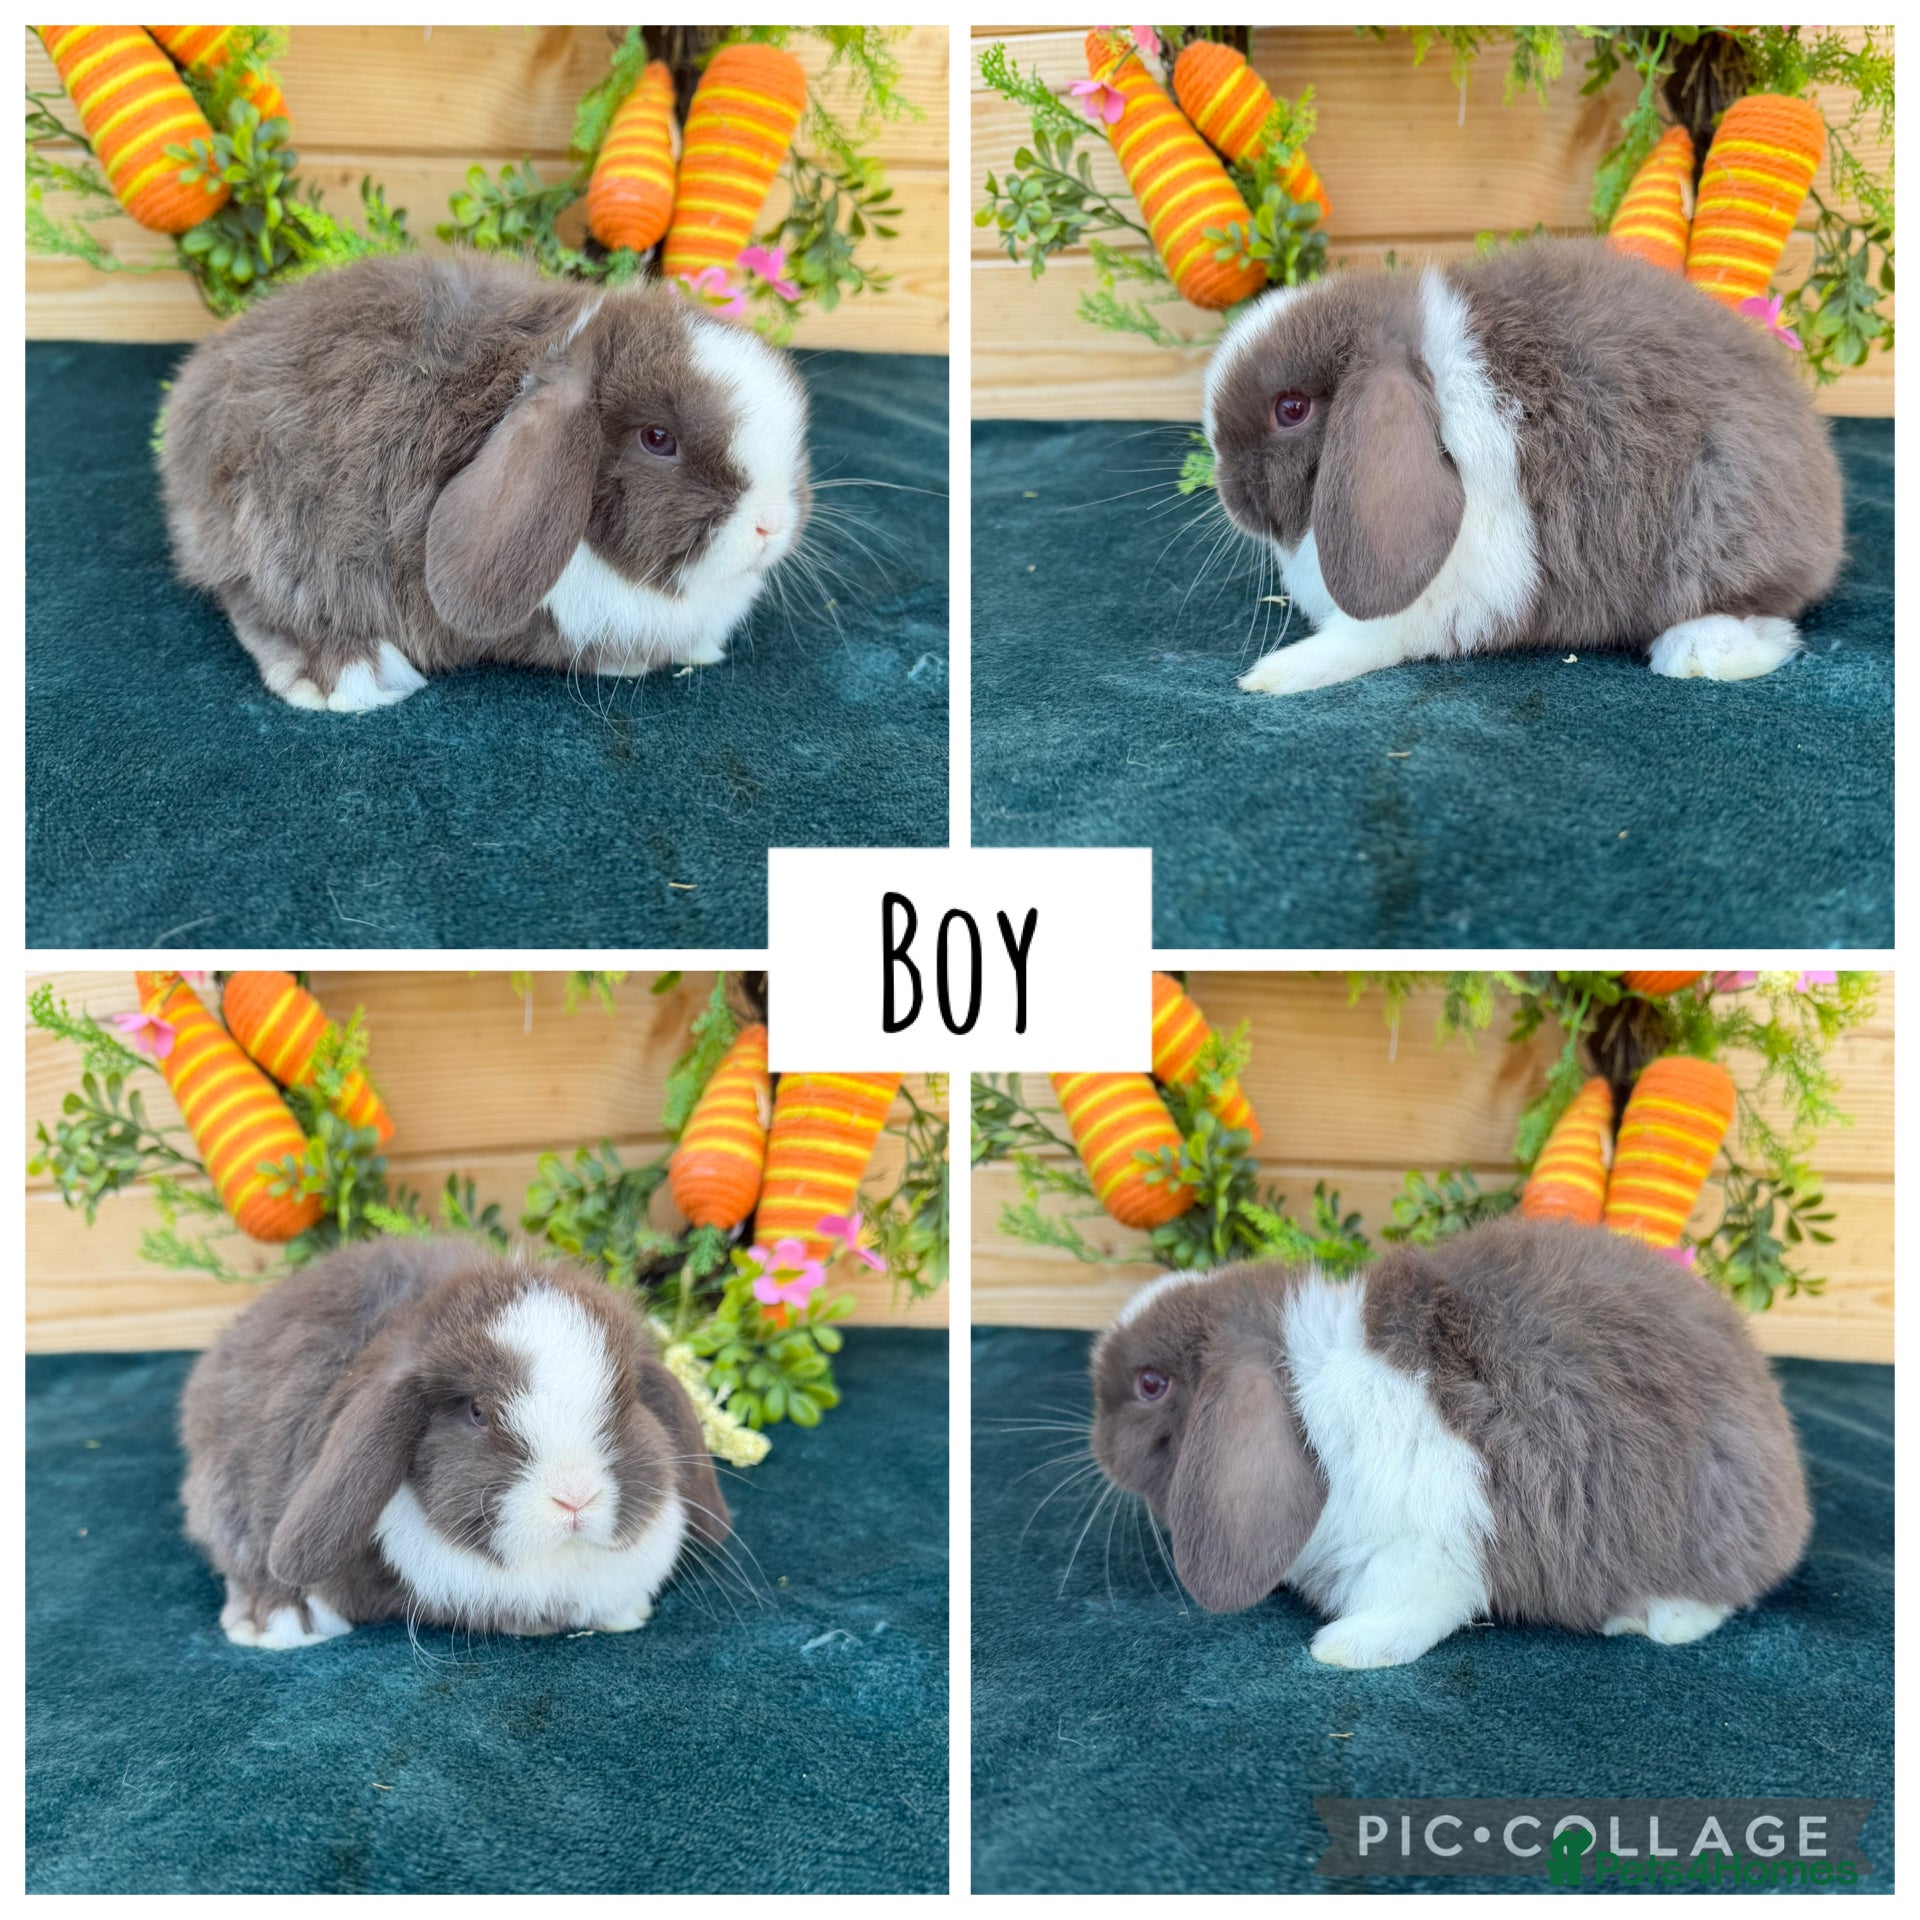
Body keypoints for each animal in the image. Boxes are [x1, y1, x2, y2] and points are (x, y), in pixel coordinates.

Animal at [158, 250, 810, 711]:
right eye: (657, 438)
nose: (772, 525)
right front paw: (629, 662)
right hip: (275, 530)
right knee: (255, 604)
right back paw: (350, 676)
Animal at [1089, 1216, 1809, 1668]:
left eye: (1150, 1384)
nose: (1097, 1446)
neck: (1308, 1409)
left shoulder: (1425, 1555)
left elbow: (1409, 1614)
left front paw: (1341, 1650)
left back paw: (1647, 1620)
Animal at [1202, 239, 1844, 697]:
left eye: (1291, 409)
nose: (1228, 491)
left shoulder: (1449, 598)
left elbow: (1366, 641)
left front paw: (1273, 675)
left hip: (1720, 523)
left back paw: (1694, 654)